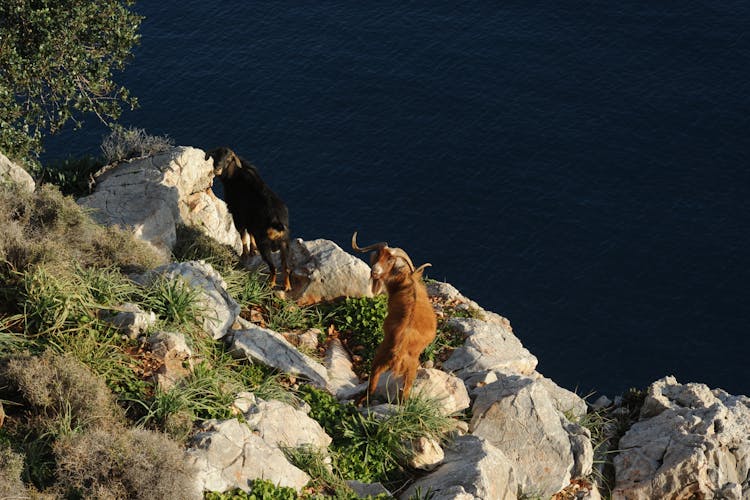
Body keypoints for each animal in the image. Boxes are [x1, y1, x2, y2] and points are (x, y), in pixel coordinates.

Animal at [207, 146, 292, 292]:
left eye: (228, 159)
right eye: (215, 156)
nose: (217, 169)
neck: (235, 175)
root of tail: (277, 222)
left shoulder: (238, 215)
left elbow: (242, 234)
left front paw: (245, 254)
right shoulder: (250, 220)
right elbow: (250, 233)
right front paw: (252, 251)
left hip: (265, 243)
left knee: (273, 267)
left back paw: (270, 285)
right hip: (284, 243)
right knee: (286, 266)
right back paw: (287, 287)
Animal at [354, 232, 440, 404]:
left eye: (390, 260)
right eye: (378, 254)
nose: (374, 271)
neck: (406, 282)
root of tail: (398, 352)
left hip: (381, 357)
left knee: (373, 383)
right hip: (409, 367)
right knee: (402, 394)